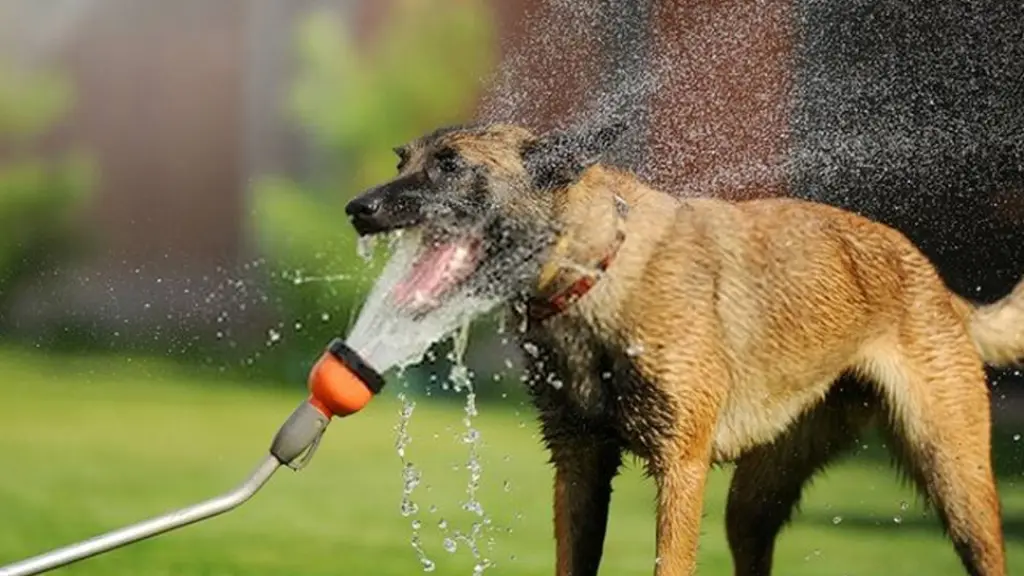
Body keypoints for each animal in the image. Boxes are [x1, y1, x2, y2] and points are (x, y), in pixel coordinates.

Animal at [346, 118, 1024, 569]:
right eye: (403, 159)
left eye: (451, 165)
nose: (358, 208)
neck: (595, 272)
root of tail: (936, 281)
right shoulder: (579, 462)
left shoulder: (680, 464)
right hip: (756, 498)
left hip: (957, 478)